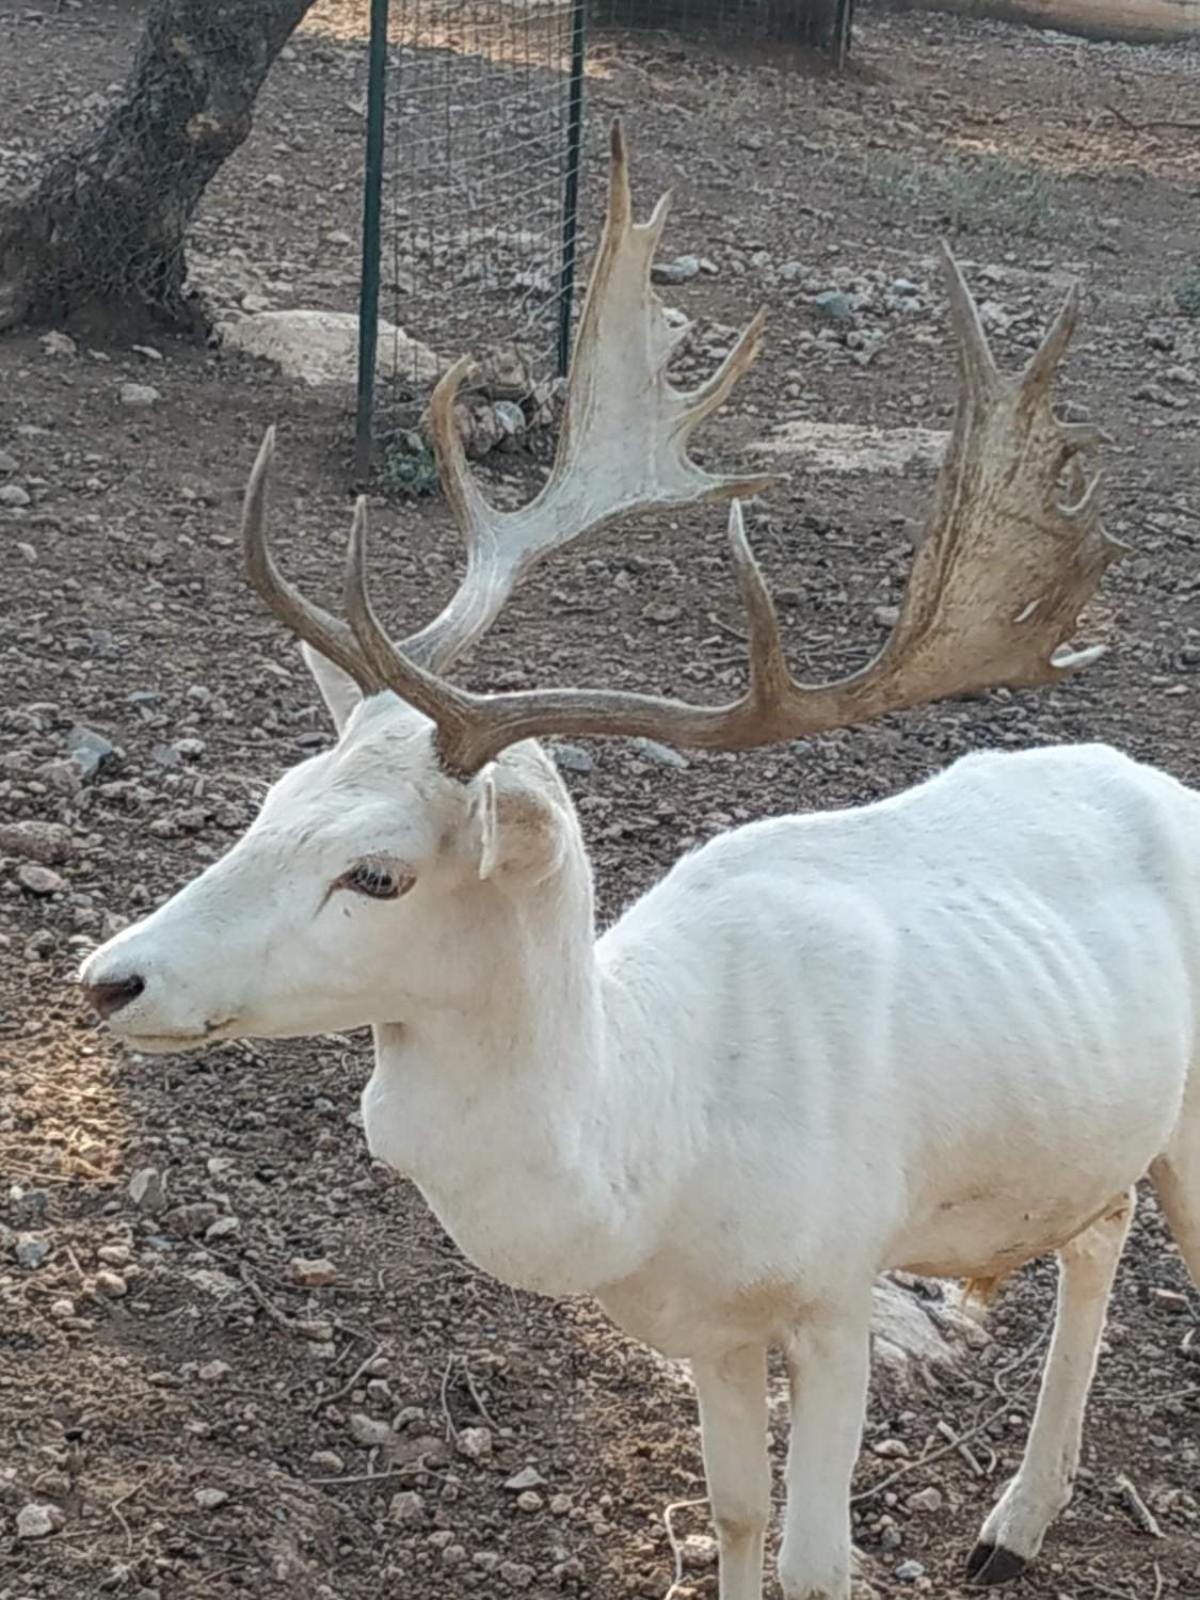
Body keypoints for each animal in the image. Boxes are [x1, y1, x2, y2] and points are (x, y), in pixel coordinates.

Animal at [80, 128, 1196, 1600]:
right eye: (271, 801)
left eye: (379, 874)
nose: (110, 978)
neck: (652, 1158)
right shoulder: (707, 1330)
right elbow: (734, 1515)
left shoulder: (840, 1286)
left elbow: (819, 1558)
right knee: (1102, 1223)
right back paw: (1016, 1517)